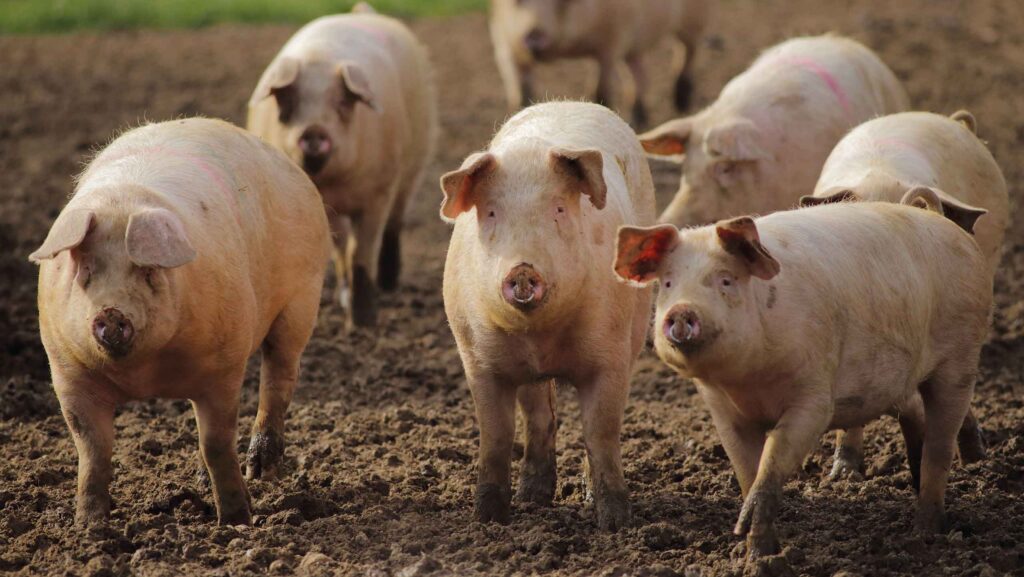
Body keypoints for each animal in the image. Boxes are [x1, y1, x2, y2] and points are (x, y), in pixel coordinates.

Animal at [31, 118, 331, 526]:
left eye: (147, 272)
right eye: (85, 271)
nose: (110, 313)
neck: (144, 377)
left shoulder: (224, 366)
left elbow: (217, 443)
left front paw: (237, 521)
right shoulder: (67, 371)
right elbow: (93, 451)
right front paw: (89, 527)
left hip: (301, 300)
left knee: (279, 377)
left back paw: (260, 472)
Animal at [248, 3, 438, 328]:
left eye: (342, 102)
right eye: (288, 102)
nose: (313, 131)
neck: (337, 183)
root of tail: (363, 11)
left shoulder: (378, 192)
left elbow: (360, 253)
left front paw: (363, 324)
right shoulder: (323, 204)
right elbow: (339, 252)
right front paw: (347, 307)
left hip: (416, 158)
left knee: (395, 221)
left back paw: (389, 283)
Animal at [440, 101, 656, 529]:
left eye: (558, 208)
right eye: (492, 213)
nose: (523, 270)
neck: (539, 336)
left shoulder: (610, 356)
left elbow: (600, 431)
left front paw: (616, 523)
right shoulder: (477, 359)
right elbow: (496, 435)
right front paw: (487, 519)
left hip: (637, 330)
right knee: (539, 414)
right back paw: (533, 497)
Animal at [490, 0, 711, 126]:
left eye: (561, 1)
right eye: (518, 1)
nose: (534, 34)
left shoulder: (612, 39)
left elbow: (601, 90)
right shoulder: (503, 42)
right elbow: (520, 93)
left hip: (695, 19)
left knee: (687, 52)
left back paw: (682, 105)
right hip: (635, 48)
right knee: (639, 73)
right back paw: (638, 120)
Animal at [614, 202, 991, 561]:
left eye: (725, 280)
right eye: (667, 283)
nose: (681, 310)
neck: (750, 379)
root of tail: (955, 231)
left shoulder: (814, 396)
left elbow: (775, 455)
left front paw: (753, 540)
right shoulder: (722, 409)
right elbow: (747, 470)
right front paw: (753, 551)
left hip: (961, 356)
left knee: (940, 445)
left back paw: (927, 530)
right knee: (914, 412)